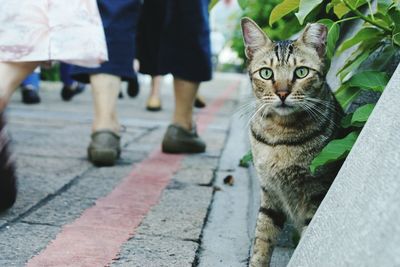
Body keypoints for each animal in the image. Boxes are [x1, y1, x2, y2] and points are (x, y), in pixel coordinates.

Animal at [241, 17, 344, 266]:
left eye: (301, 71)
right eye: (266, 73)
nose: (282, 93)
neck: (280, 136)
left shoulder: (315, 191)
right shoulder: (269, 192)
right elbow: (262, 238)